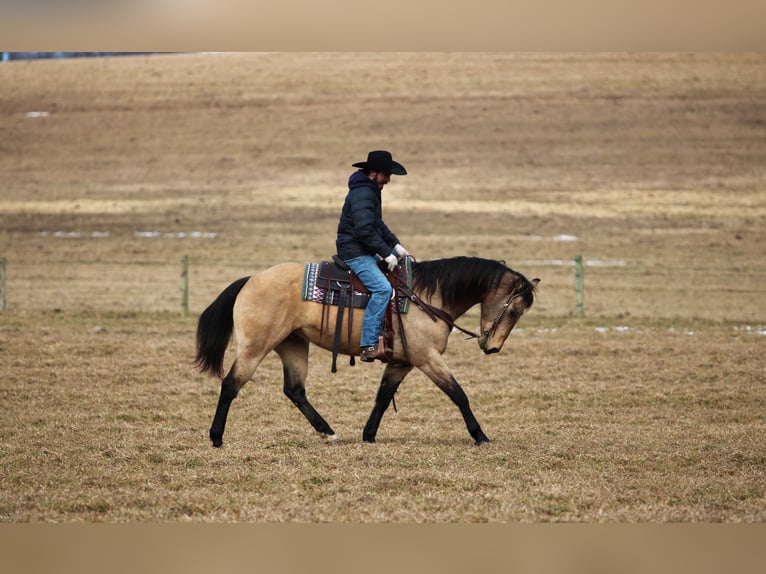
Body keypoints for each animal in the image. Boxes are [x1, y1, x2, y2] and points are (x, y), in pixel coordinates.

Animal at [194, 256, 539, 447]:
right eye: (513, 311)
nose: (492, 347)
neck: (427, 296)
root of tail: (250, 279)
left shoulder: (402, 363)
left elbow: (383, 397)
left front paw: (369, 434)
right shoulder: (427, 359)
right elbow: (458, 394)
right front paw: (480, 436)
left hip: (293, 345)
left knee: (294, 390)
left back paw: (328, 432)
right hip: (254, 348)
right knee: (231, 385)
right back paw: (216, 437)